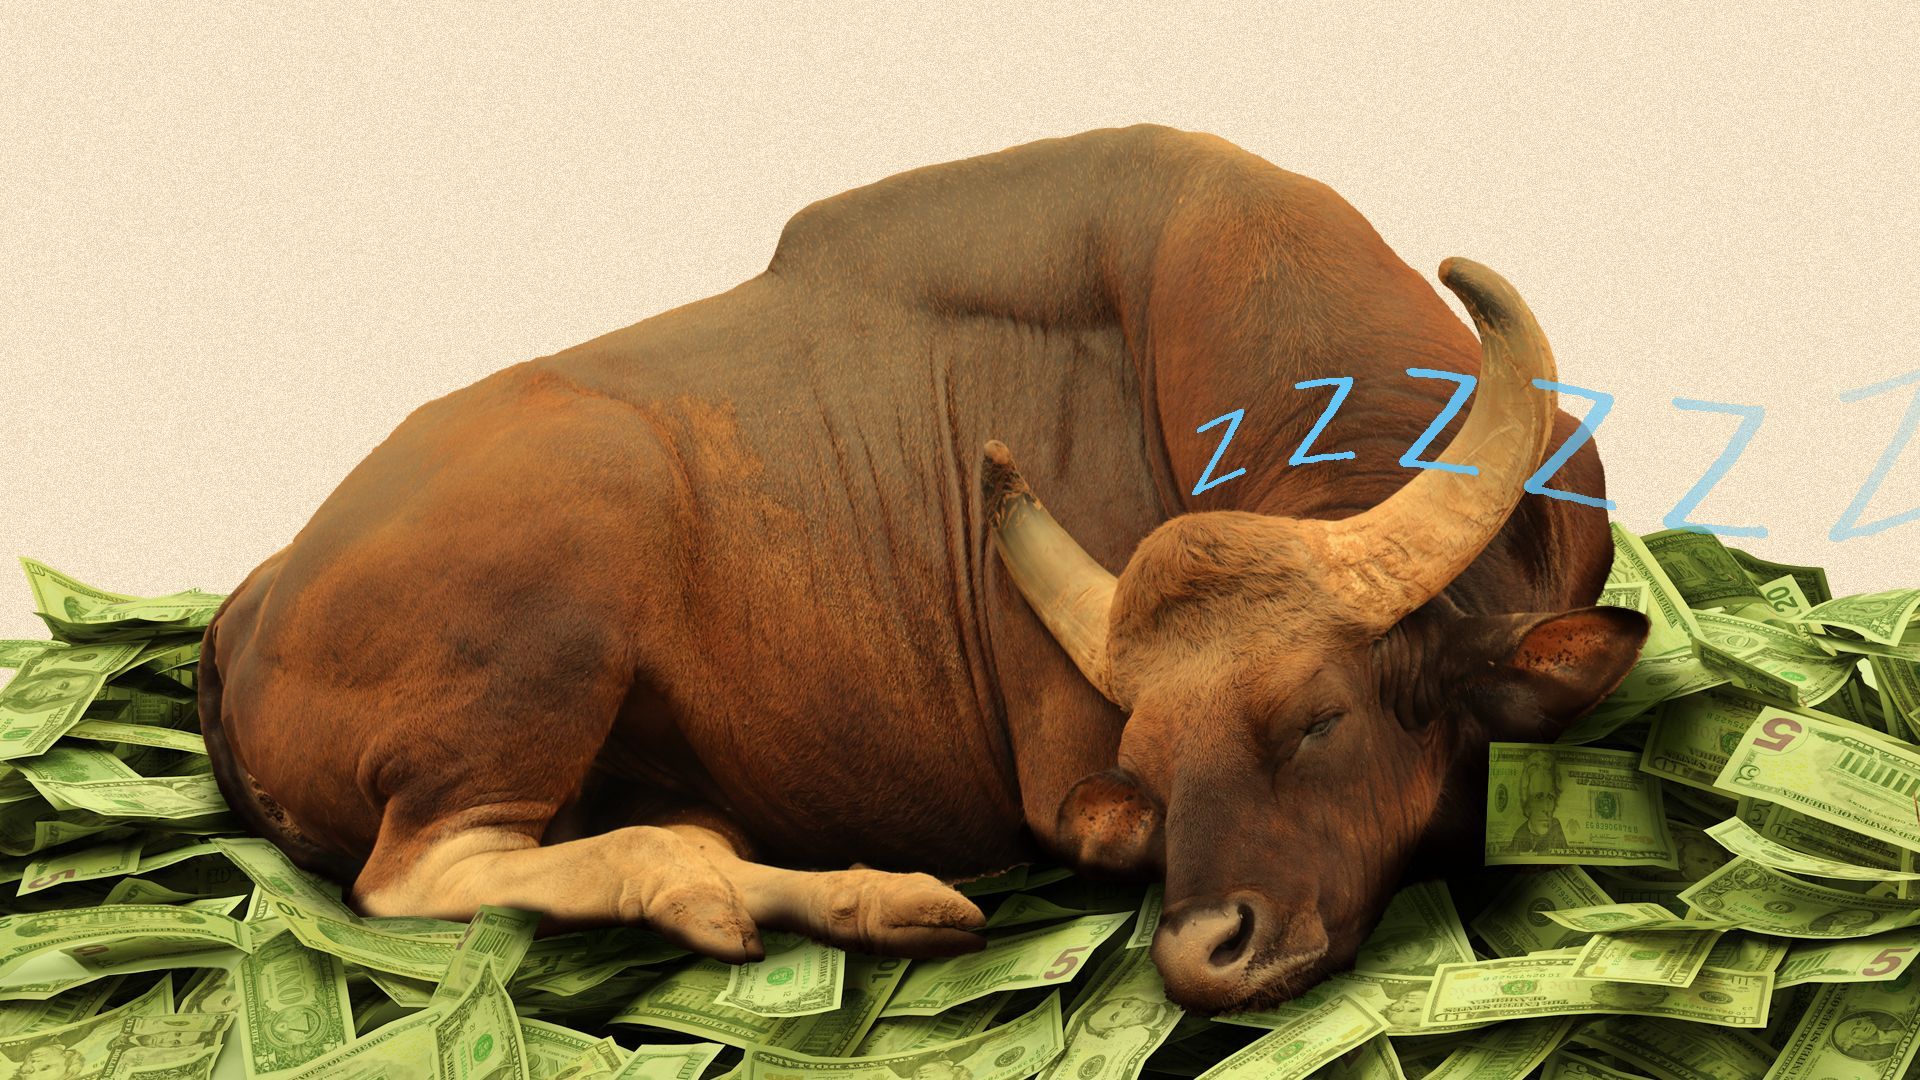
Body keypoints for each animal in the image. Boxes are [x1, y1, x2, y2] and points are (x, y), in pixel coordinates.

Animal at [196, 124, 1648, 1015]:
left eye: (1320, 720)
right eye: (1151, 762)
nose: (1202, 954)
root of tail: (253, 600)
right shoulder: (1077, 790)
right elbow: (1098, 834)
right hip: (571, 565)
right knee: (420, 870)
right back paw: (846, 899)